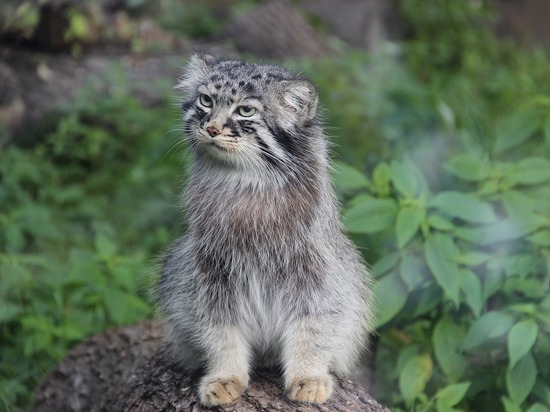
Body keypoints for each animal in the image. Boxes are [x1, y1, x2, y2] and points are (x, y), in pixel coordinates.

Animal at [160, 54, 376, 406]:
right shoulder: (210, 278)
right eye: (206, 101)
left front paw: (309, 377)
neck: (246, 188)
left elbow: (313, 330)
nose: (211, 128)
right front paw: (225, 376)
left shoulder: (317, 278)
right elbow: (220, 333)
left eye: (246, 110)